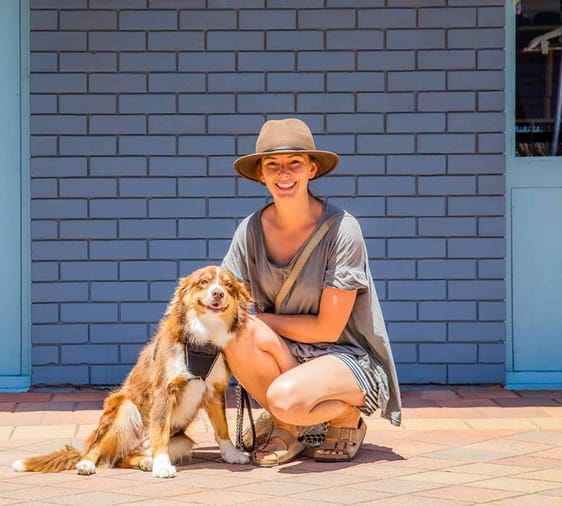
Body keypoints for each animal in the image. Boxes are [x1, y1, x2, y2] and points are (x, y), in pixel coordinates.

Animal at [13, 265, 251, 478]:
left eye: (229, 285)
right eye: (204, 282)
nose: (218, 293)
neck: (203, 339)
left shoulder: (214, 391)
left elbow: (222, 428)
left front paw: (232, 455)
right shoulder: (164, 390)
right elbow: (160, 432)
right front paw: (162, 467)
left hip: (182, 441)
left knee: (122, 457)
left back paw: (146, 461)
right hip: (125, 409)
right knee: (99, 450)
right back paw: (87, 464)